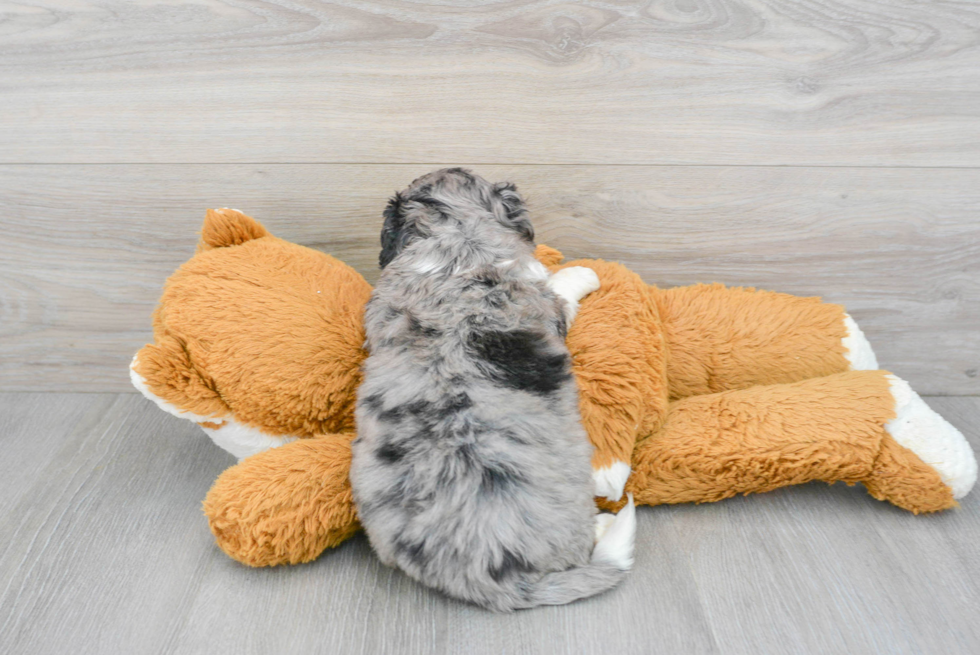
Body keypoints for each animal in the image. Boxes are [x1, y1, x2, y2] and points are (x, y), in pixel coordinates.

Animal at [350, 168, 636, 608]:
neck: (456, 232)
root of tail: (497, 582)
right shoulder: (545, 300)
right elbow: (561, 285)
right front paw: (585, 273)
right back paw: (606, 523)